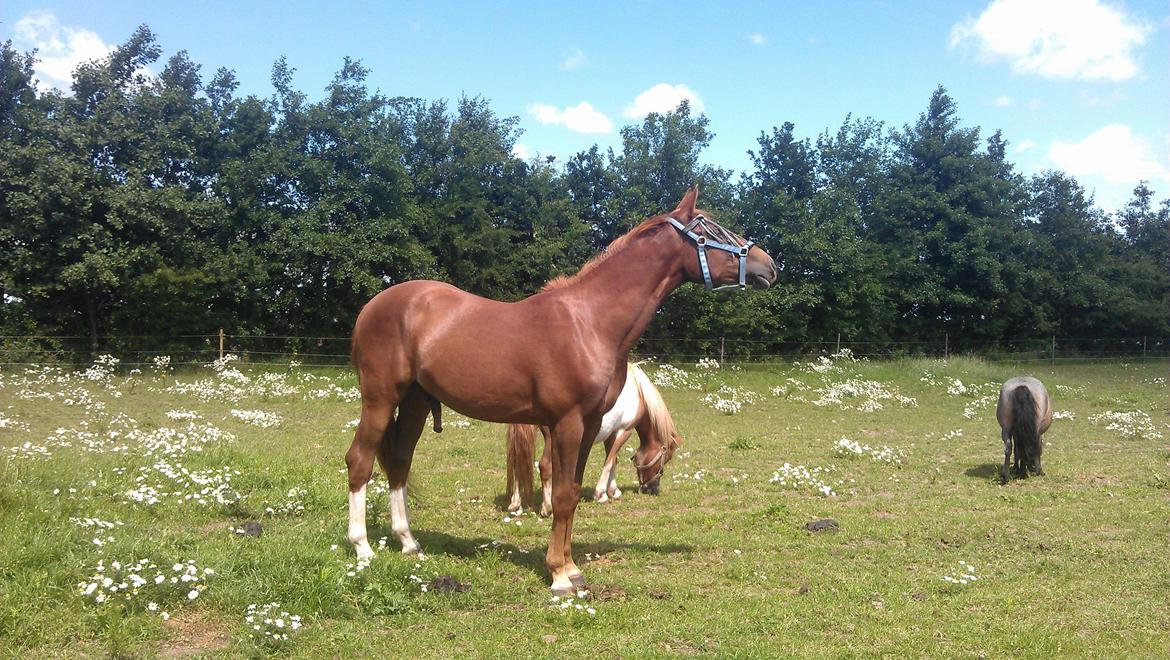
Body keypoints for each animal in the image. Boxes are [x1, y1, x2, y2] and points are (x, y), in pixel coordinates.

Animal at [505, 358, 683, 512]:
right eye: (666, 459)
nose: (653, 489)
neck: (637, 393)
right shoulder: (623, 431)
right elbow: (609, 462)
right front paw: (601, 494)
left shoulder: (611, 433)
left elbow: (613, 459)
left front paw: (613, 490)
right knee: (544, 465)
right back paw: (547, 507)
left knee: (517, 463)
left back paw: (515, 504)